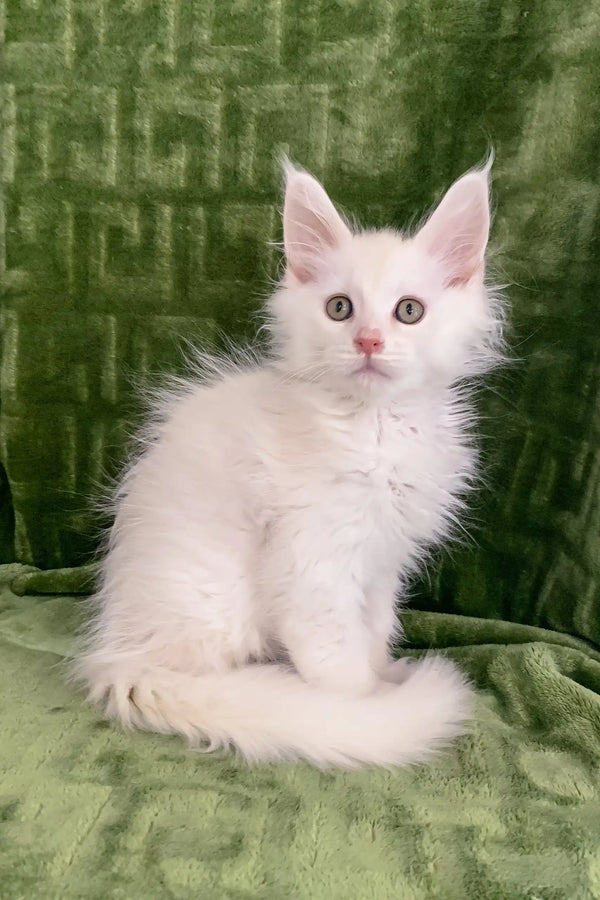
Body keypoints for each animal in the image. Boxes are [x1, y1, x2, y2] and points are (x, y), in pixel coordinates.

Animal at [76, 160, 506, 768]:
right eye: (339, 307)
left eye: (409, 311)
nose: (369, 341)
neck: (374, 426)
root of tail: (120, 654)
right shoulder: (311, 565)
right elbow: (339, 669)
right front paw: (366, 710)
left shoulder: (381, 563)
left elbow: (375, 633)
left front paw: (384, 676)